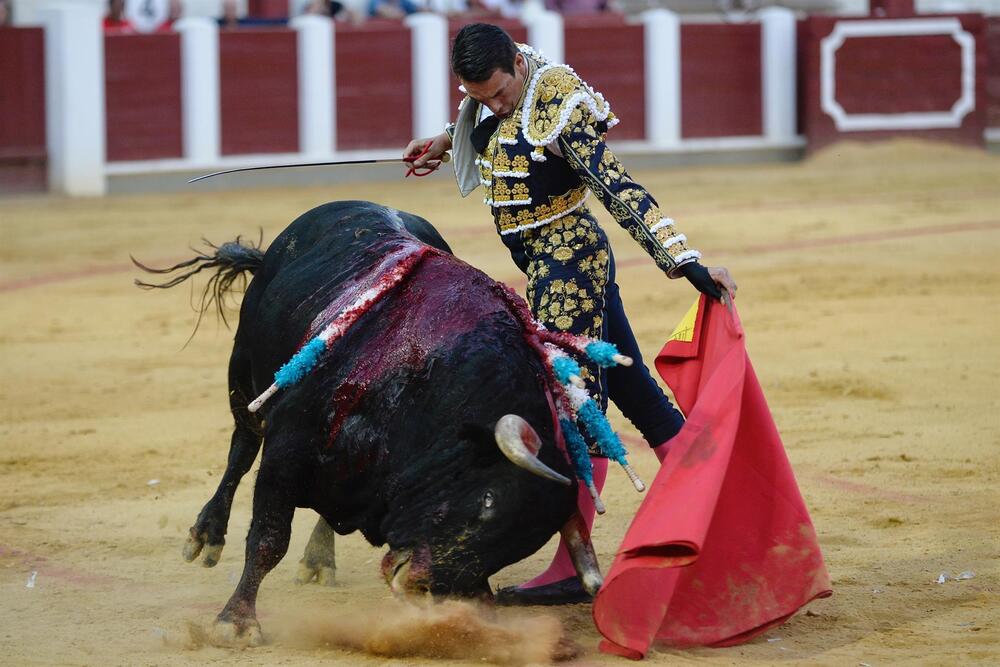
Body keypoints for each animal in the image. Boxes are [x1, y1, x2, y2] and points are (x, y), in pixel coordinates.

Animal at [135, 201, 600, 640]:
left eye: (518, 544)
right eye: (487, 503)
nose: (418, 584)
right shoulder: (287, 450)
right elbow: (268, 537)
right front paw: (236, 622)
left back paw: (318, 558)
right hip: (243, 375)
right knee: (241, 449)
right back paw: (207, 536)